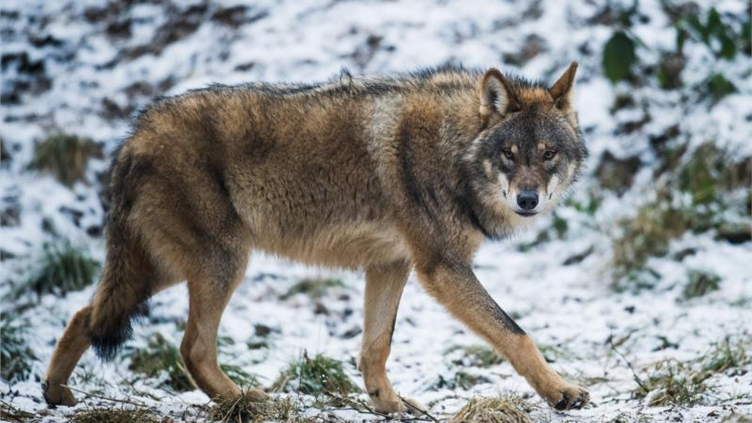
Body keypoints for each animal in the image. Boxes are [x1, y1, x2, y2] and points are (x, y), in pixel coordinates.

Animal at [43, 62, 589, 412]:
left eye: (547, 154)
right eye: (509, 154)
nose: (527, 200)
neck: (452, 150)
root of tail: (133, 136)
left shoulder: (391, 264)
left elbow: (375, 347)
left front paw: (389, 405)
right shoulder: (442, 268)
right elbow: (515, 334)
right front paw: (561, 392)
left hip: (165, 269)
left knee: (84, 314)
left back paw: (55, 394)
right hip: (221, 263)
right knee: (192, 347)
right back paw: (245, 401)